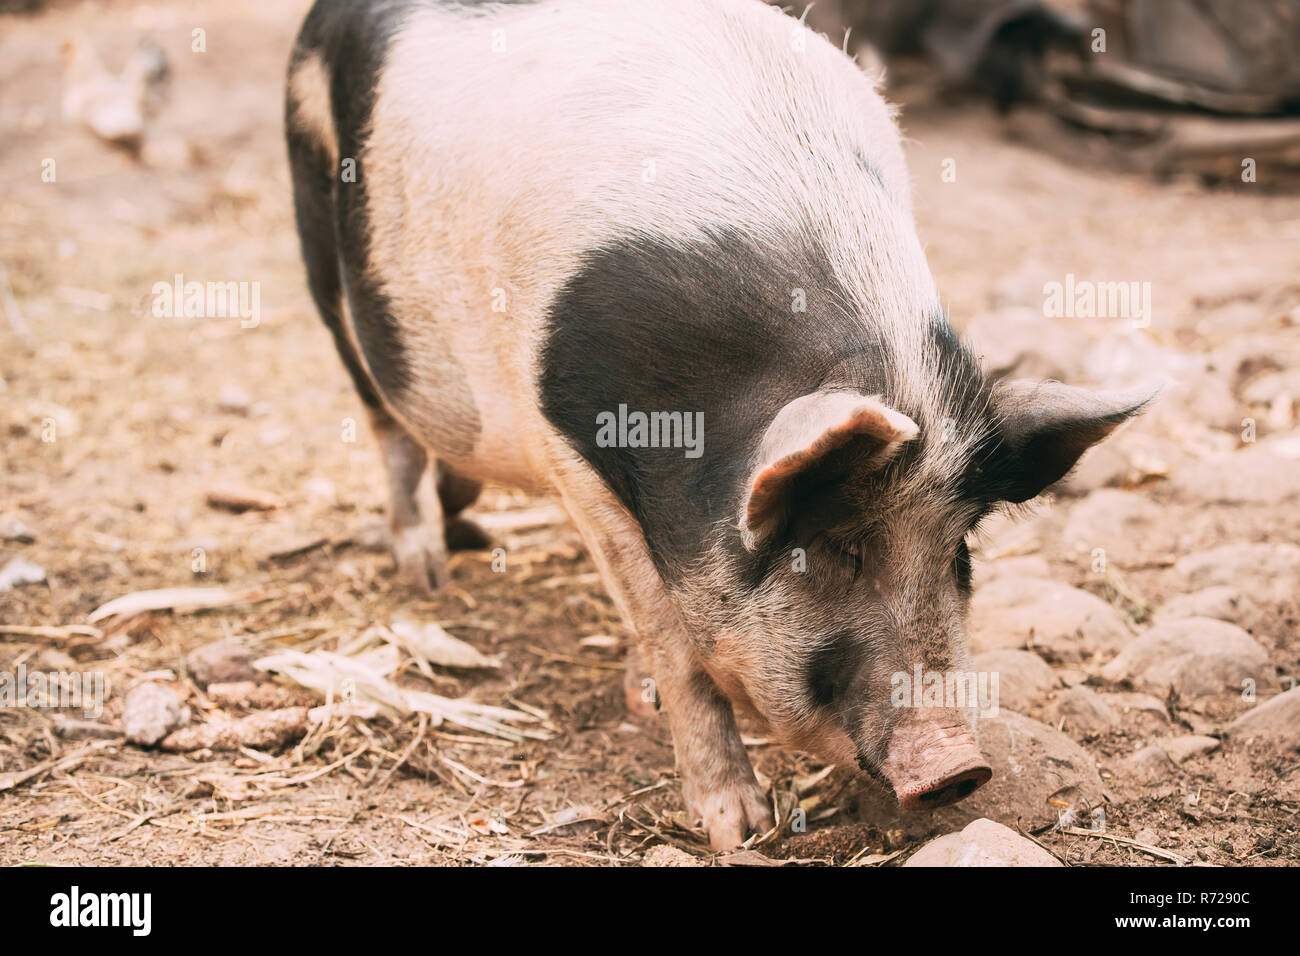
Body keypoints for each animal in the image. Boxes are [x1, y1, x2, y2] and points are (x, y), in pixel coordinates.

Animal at [287, 0, 1149, 853]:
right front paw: (738, 829)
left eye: (959, 554)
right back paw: (424, 572)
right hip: (327, 253)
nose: (959, 767)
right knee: (386, 423)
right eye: (838, 547)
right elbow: (675, 642)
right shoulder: (569, 449)